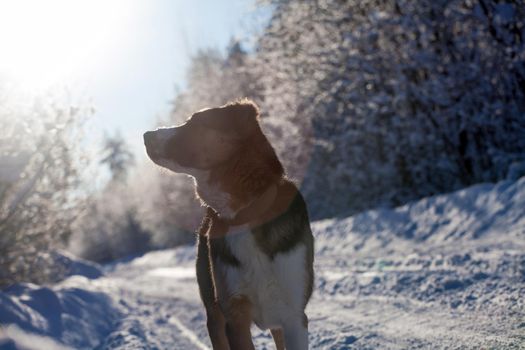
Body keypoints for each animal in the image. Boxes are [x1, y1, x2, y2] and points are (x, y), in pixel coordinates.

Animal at [143, 99, 314, 350]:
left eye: (195, 122)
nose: (146, 136)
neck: (244, 214)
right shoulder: (234, 315)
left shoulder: (294, 315)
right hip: (213, 311)